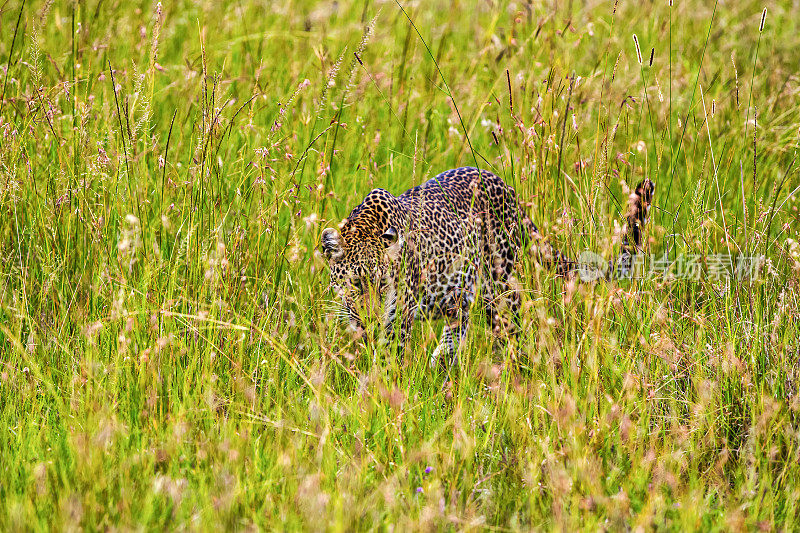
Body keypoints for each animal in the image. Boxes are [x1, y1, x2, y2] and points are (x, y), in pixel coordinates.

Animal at [320, 166, 656, 366]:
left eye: (383, 284)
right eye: (354, 283)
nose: (370, 317)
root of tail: (502, 184)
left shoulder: (399, 317)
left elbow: (390, 357)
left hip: (501, 284)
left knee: (509, 328)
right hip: (462, 295)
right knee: (459, 327)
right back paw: (444, 362)